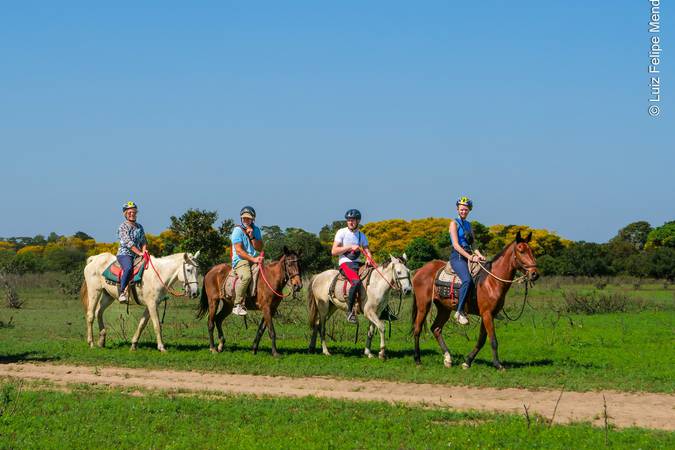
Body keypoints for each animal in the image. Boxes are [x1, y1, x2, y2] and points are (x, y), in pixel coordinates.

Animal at [411, 231, 539, 369]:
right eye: (521, 250)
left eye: (531, 250)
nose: (534, 274)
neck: (491, 281)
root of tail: (419, 270)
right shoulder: (487, 314)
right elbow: (493, 340)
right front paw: (498, 365)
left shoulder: (488, 314)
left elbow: (481, 340)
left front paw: (467, 361)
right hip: (423, 306)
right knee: (417, 329)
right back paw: (417, 360)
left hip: (444, 308)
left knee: (436, 328)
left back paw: (448, 358)